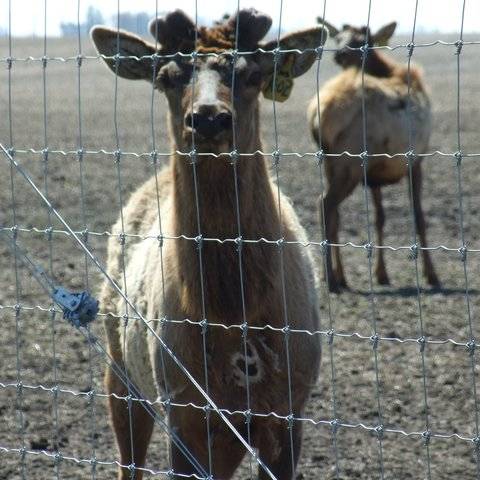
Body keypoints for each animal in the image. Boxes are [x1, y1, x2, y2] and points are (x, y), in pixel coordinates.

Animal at [92, 8, 328, 480]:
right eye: (166, 77)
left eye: (253, 74)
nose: (207, 119)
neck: (232, 315)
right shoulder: (182, 407)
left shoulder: (290, 407)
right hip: (120, 367)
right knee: (129, 460)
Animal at [308, 20, 438, 292]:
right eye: (338, 38)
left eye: (360, 40)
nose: (340, 54)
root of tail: (317, 114)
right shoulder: (417, 160)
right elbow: (418, 216)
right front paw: (432, 275)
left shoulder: (376, 174)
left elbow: (380, 218)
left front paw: (382, 273)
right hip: (350, 163)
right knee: (325, 205)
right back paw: (331, 280)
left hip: (330, 163)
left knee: (334, 215)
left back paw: (337, 276)